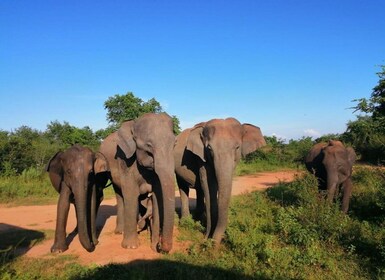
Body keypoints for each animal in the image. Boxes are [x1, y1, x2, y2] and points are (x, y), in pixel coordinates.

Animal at [94, 112, 176, 253]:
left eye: (174, 144)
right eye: (148, 146)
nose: (159, 246)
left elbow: (157, 195)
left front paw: (152, 246)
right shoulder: (125, 161)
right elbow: (131, 195)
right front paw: (130, 247)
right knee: (120, 195)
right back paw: (120, 232)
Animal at [175, 117, 268, 245]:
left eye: (237, 147)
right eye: (209, 148)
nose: (207, 238)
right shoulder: (201, 157)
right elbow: (209, 184)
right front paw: (209, 237)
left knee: (199, 189)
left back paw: (198, 218)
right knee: (183, 187)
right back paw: (186, 222)